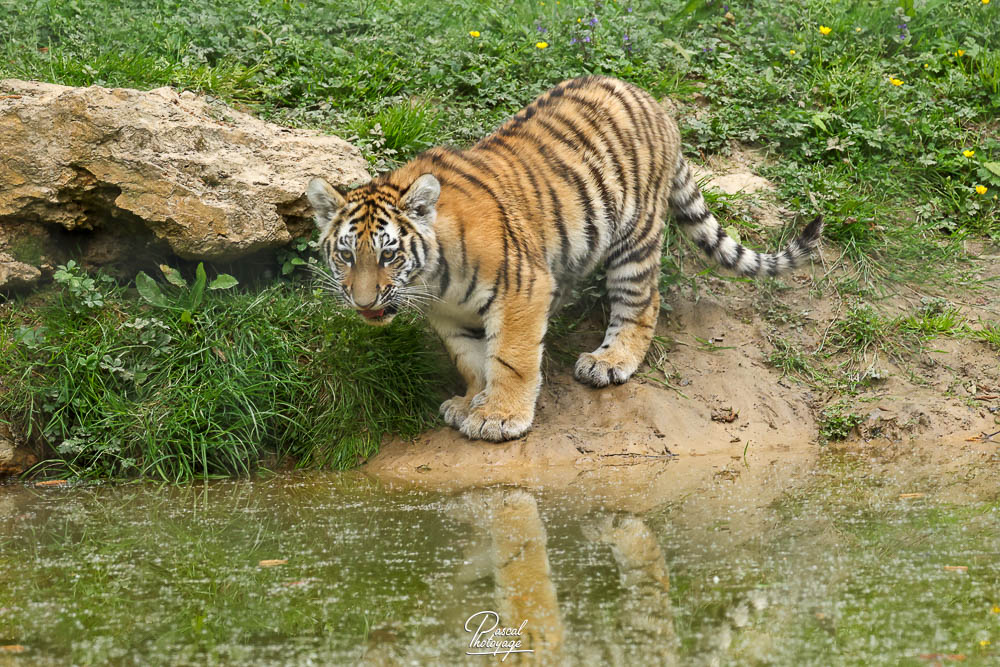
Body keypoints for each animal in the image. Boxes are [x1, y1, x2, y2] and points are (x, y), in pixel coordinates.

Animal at [306, 75, 823, 442]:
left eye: (389, 254)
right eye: (346, 256)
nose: (363, 303)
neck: (432, 281)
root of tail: (650, 98)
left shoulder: (520, 290)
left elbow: (509, 357)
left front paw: (498, 417)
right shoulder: (450, 316)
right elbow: (472, 360)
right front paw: (471, 401)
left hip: (634, 236)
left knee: (643, 300)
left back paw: (609, 361)